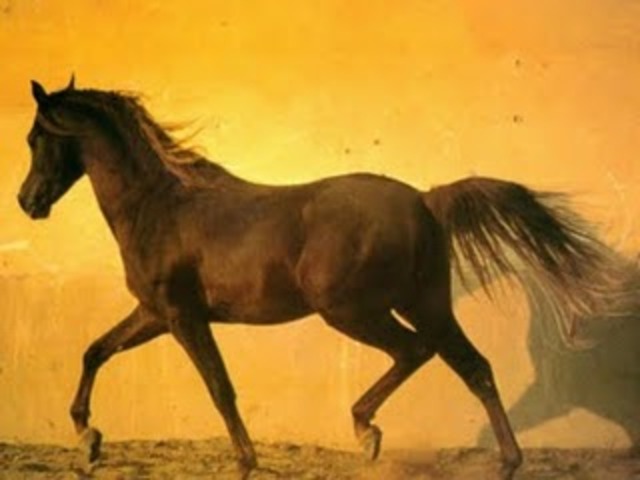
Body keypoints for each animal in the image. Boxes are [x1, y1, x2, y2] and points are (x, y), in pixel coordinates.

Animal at [17, 77, 614, 479]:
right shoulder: (154, 313)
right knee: (473, 368)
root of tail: (424, 200)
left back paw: (367, 432)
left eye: (35, 136)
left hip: (352, 309)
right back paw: (499, 461)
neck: (161, 205)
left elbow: (219, 387)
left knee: (416, 352)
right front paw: (88, 439)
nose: (27, 201)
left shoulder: (182, 316)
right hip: (424, 303)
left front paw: (246, 461)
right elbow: (95, 350)